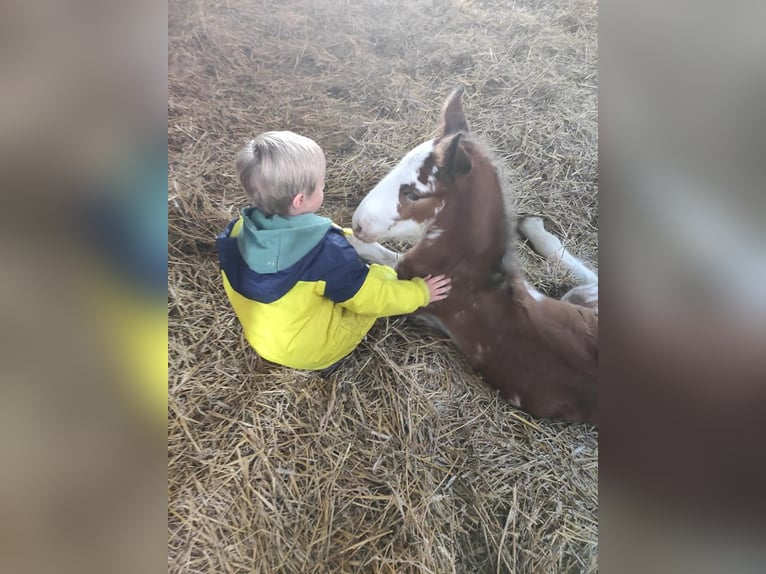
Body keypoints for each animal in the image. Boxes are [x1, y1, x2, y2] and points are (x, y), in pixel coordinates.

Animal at [352, 88, 600, 426]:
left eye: (414, 194)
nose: (358, 224)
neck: (467, 270)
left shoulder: (412, 283)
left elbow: (375, 255)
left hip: (580, 298)